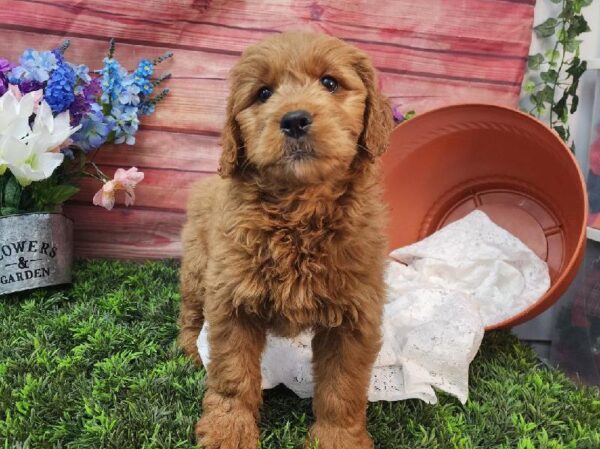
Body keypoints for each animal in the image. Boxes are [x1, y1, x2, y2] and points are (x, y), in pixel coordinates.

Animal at [178, 31, 394, 448]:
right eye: (263, 93)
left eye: (329, 82)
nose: (294, 120)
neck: (297, 211)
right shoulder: (230, 300)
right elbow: (232, 374)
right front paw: (229, 431)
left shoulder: (355, 315)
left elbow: (343, 385)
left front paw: (339, 438)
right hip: (198, 268)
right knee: (190, 314)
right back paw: (189, 350)